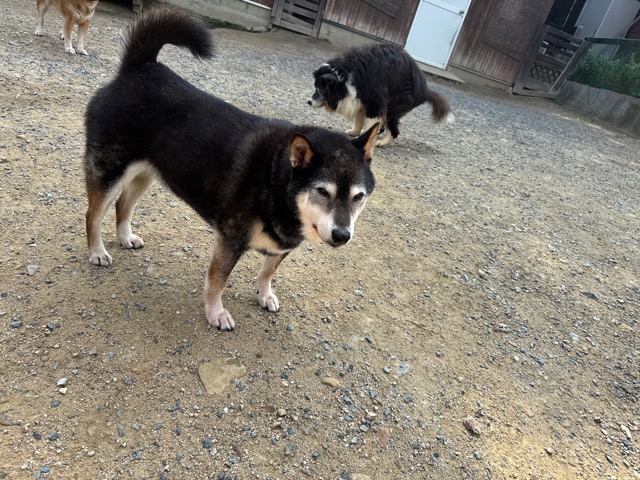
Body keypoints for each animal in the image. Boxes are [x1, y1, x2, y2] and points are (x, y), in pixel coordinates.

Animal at [84, 9, 379, 331]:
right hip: (109, 170)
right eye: (322, 192)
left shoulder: (281, 247)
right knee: (93, 214)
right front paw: (215, 313)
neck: (277, 182)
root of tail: (139, 68)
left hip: (145, 174)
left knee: (123, 206)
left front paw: (265, 295)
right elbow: (217, 280)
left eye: (358, 197)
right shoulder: (230, 240)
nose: (342, 234)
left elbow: (267, 272)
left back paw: (125, 237)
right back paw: (97, 252)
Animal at [308, 43, 453, 146]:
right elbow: (359, 120)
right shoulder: (361, 101)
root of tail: (424, 91)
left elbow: (369, 123)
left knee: (395, 131)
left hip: (393, 107)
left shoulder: (374, 103)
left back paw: (382, 142)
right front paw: (354, 132)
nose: (308, 102)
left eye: (319, 90)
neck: (345, 78)